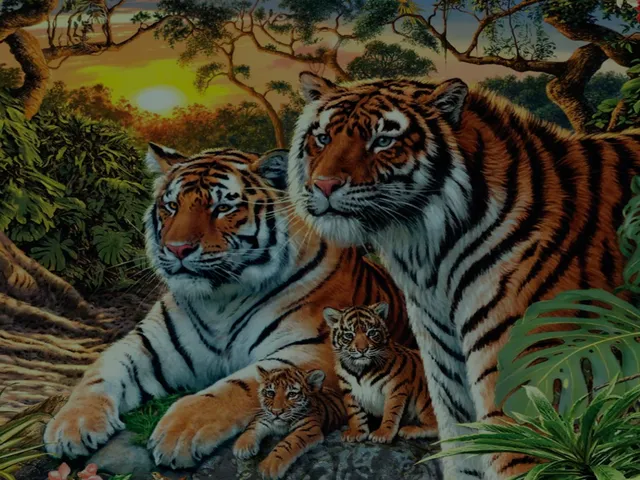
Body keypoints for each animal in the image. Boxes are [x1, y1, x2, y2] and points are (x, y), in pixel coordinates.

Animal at [42, 143, 413, 469]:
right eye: (172, 206)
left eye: (221, 208)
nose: (177, 249)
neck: (220, 300)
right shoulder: (148, 345)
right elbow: (100, 371)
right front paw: (71, 425)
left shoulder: (314, 348)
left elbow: (239, 386)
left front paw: (180, 432)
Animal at [323, 302, 438, 444]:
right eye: (349, 335)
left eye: (371, 333)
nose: (362, 349)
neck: (360, 370)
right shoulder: (348, 390)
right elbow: (354, 413)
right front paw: (356, 432)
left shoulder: (396, 388)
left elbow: (391, 411)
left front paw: (383, 433)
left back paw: (409, 430)